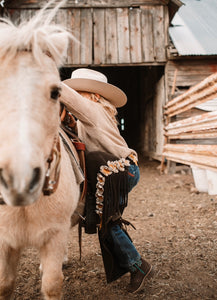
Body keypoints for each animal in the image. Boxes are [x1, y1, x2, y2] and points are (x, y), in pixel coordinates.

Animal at [0, 2, 82, 300]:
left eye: (56, 92)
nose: (20, 180)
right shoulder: (3, 243)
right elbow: (4, 283)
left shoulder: (54, 235)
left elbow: (52, 283)